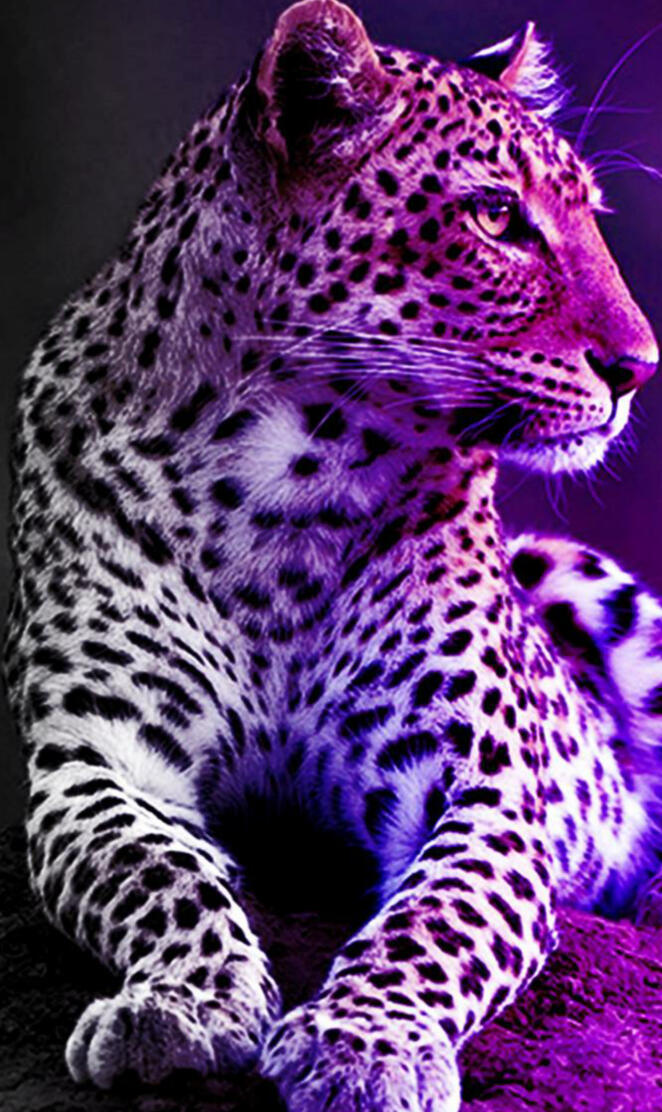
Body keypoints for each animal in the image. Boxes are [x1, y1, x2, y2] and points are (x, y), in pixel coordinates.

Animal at [6, 2, 662, 1109]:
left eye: (588, 216)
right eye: (497, 217)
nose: (640, 368)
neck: (281, 479)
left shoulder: (488, 783)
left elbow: (438, 920)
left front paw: (366, 1042)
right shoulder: (96, 753)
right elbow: (160, 875)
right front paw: (180, 1006)